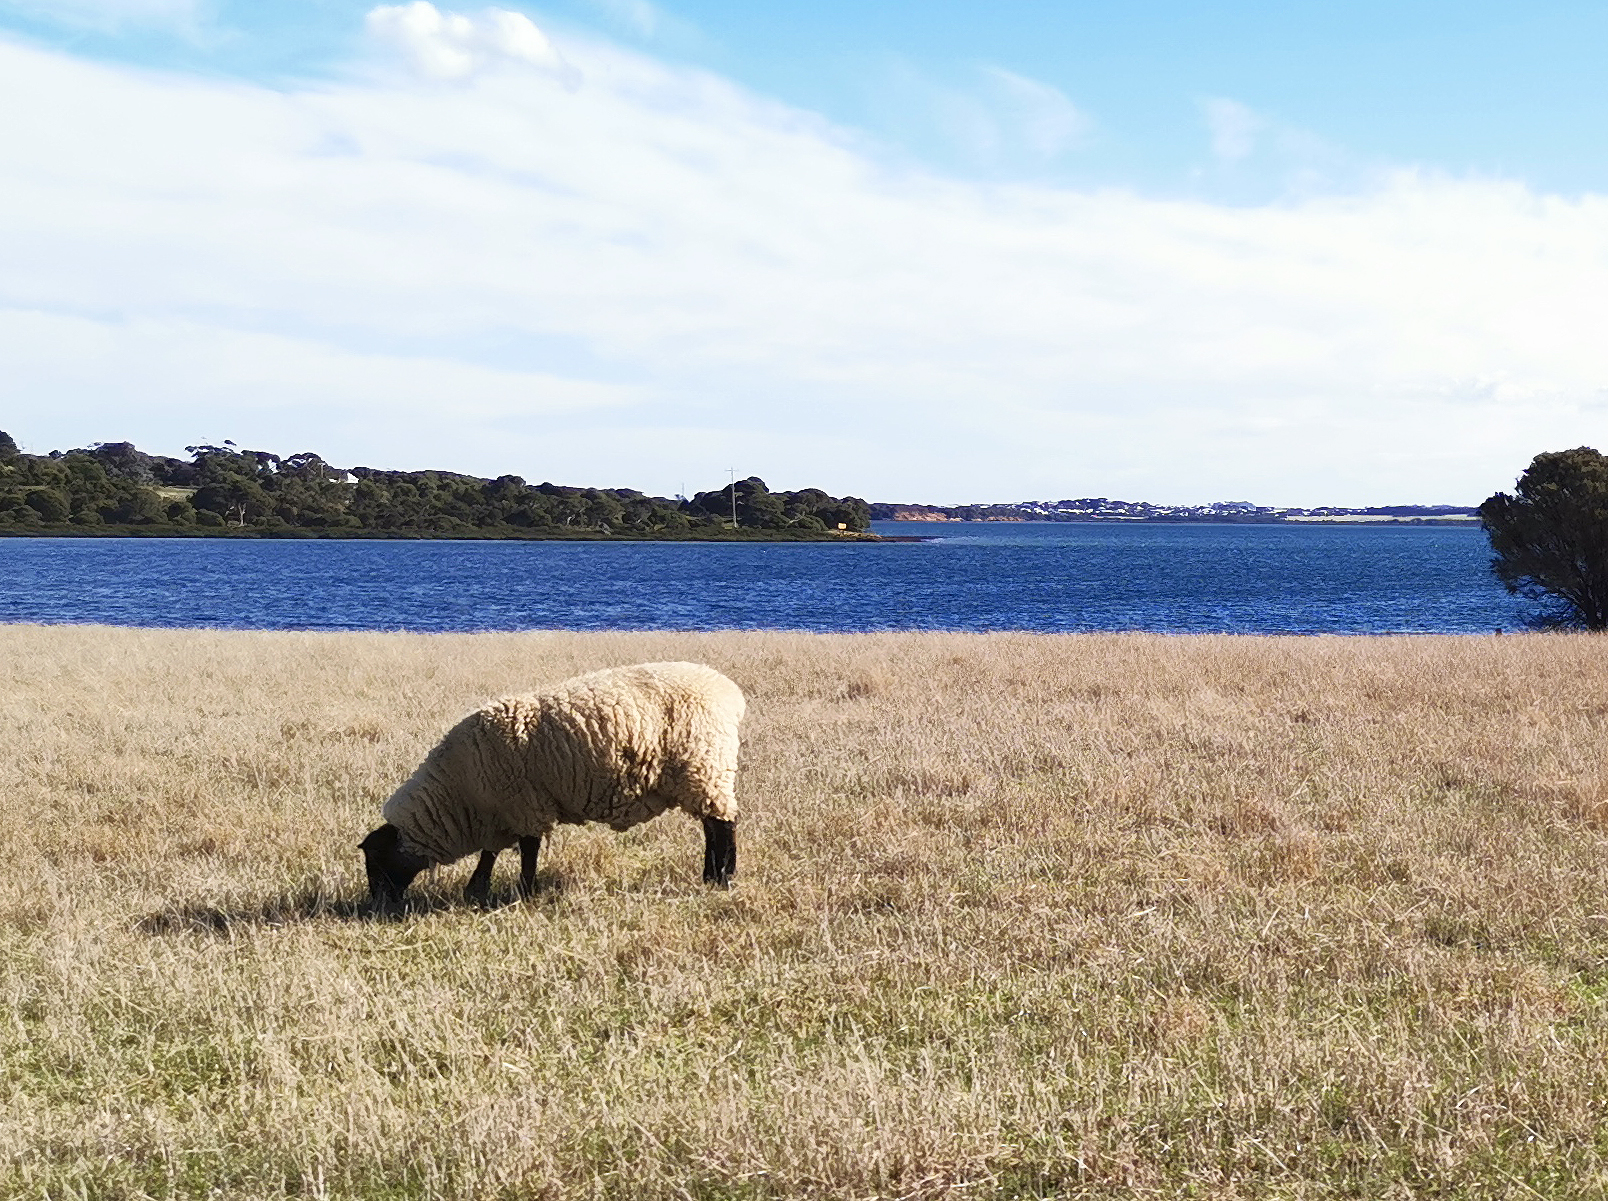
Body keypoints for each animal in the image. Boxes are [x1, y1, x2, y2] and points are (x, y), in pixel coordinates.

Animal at [361, 659, 742, 913]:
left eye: (376, 862)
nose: (377, 906)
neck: (458, 794)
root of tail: (728, 691)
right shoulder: (501, 815)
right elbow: (490, 853)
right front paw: (477, 889)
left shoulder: (524, 808)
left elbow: (527, 851)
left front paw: (525, 892)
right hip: (703, 771)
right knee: (712, 826)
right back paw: (711, 876)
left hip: (705, 764)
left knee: (723, 824)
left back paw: (723, 878)